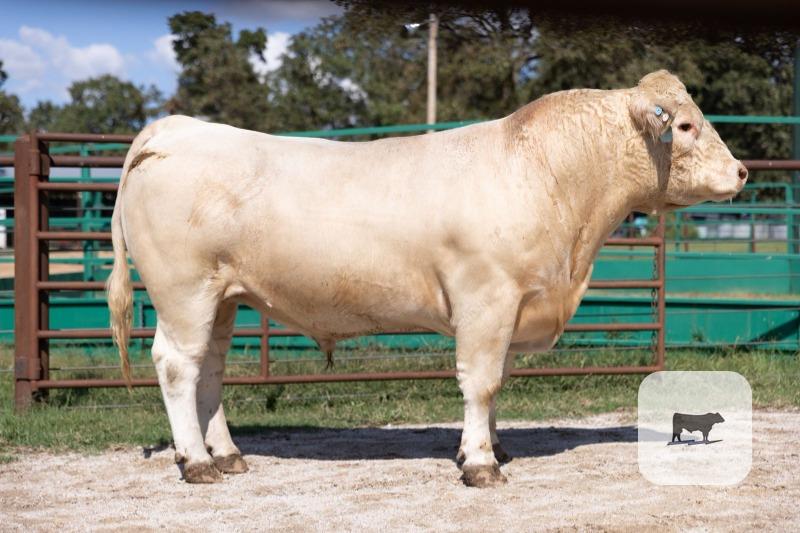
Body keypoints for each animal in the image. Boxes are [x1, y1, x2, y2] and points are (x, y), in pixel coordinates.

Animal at [107, 70, 747, 487]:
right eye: (684, 126)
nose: (741, 171)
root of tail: (175, 129)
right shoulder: (487, 300)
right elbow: (481, 383)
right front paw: (481, 464)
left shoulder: (510, 308)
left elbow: (498, 383)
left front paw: (491, 449)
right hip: (183, 293)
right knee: (177, 367)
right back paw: (196, 462)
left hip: (223, 298)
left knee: (210, 371)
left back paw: (226, 453)